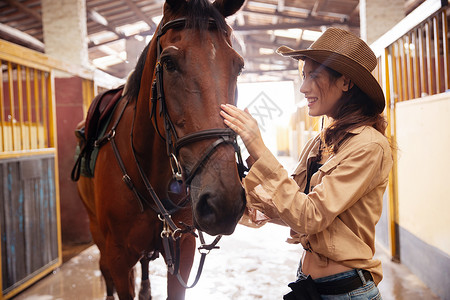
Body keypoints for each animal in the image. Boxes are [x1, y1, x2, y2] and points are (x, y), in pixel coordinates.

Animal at [74, 0, 248, 298]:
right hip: (95, 228)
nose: (224, 203)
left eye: (238, 66)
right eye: (168, 62)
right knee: (103, 265)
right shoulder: (118, 258)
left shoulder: (183, 250)